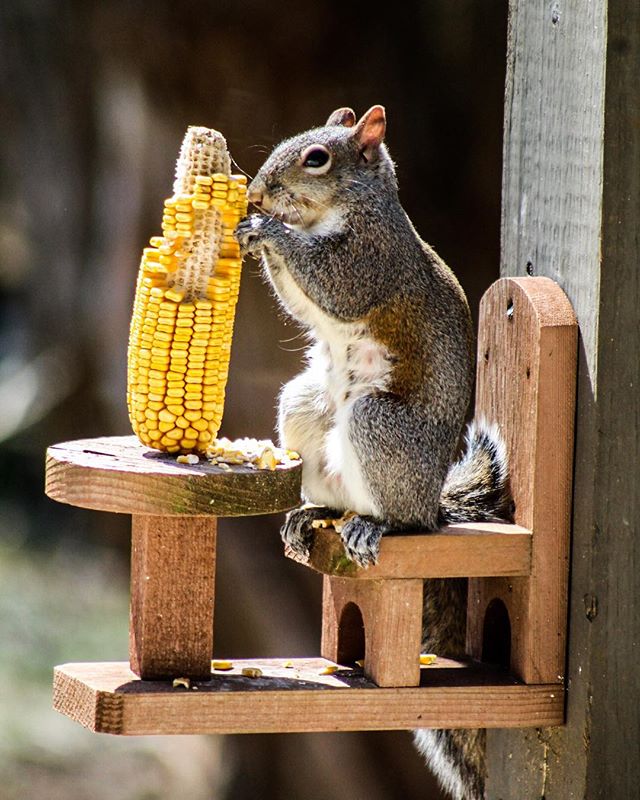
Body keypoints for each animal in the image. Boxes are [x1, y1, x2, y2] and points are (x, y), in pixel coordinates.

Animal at [235, 105, 510, 800]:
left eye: (316, 159)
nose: (256, 193)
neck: (336, 214)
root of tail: (433, 501)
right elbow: (299, 296)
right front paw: (251, 231)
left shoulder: (371, 260)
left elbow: (333, 284)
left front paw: (267, 230)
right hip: (307, 405)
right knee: (330, 492)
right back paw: (311, 515)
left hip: (378, 427)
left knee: (399, 517)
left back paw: (375, 525)